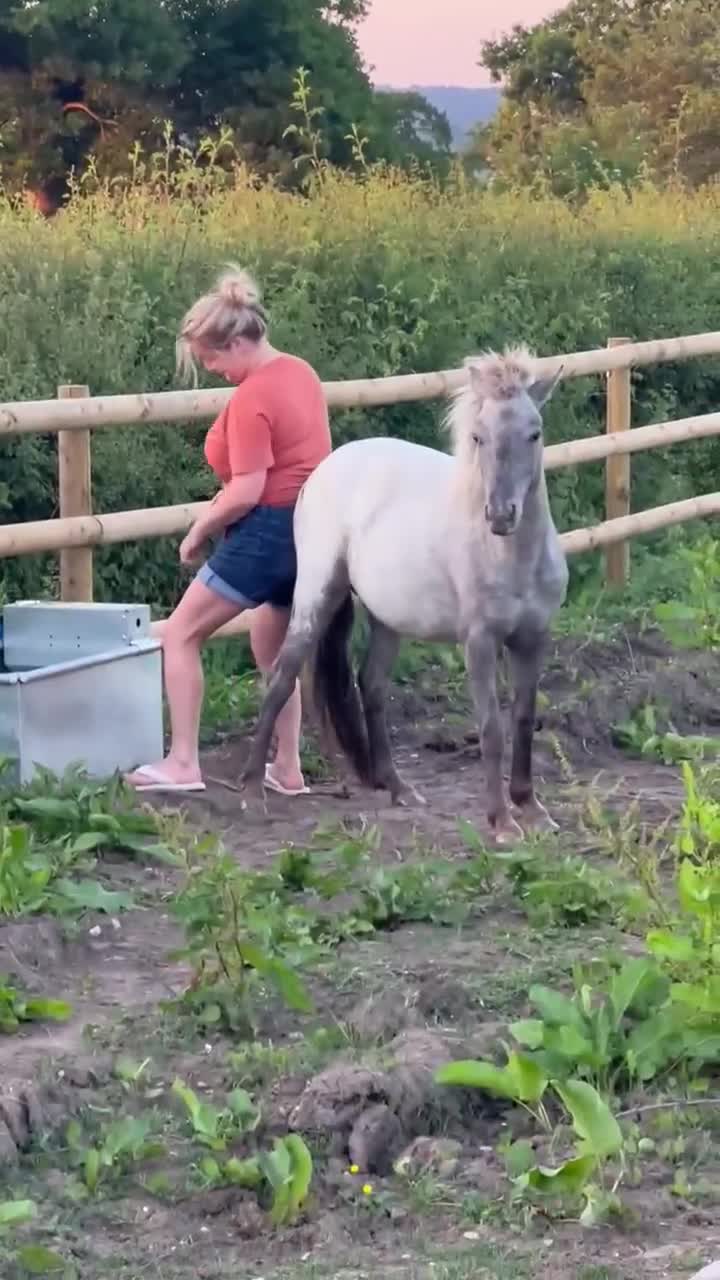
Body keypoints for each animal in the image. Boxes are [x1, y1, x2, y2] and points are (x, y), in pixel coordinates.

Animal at [242, 347, 569, 843]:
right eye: (478, 436)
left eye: (535, 433)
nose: (500, 515)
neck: (512, 557)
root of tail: (324, 470)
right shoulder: (480, 643)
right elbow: (491, 728)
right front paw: (501, 821)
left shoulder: (534, 638)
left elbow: (524, 719)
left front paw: (531, 808)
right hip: (316, 595)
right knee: (282, 677)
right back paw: (251, 791)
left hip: (388, 619)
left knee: (372, 686)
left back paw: (397, 788)